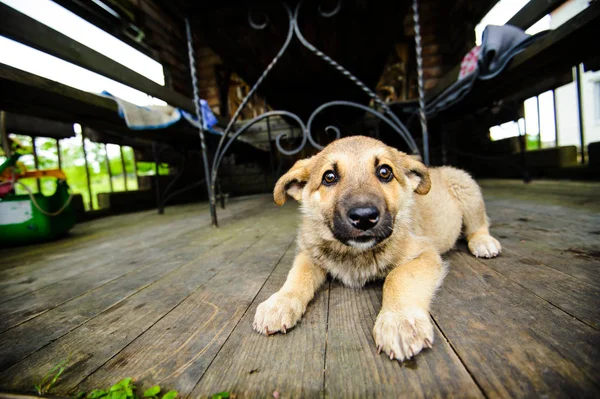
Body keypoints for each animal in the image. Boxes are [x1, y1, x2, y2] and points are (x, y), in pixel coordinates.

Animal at [253, 135, 502, 362]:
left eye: (385, 172)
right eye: (329, 177)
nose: (364, 217)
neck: (354, 253)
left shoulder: (425, 252)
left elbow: (398, 276)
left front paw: (399, 321)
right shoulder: (309, 254)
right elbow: (297, 276)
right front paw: (279, 303)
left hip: (467, 188)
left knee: (479, 223)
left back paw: (483, 242)